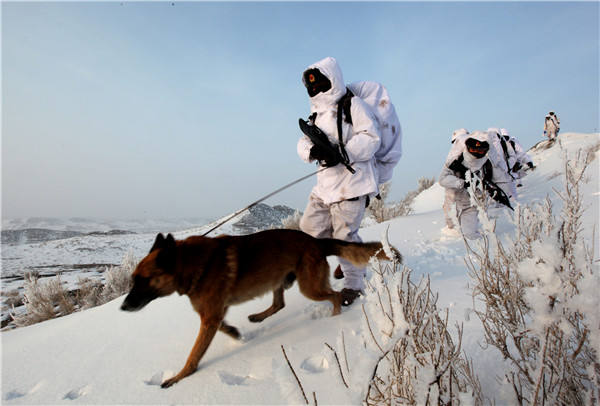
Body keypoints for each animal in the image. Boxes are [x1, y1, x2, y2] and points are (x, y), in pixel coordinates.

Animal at [119, 228, 400, 386]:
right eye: (133, 279)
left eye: (144, 280)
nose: (123, 306)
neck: (189, 264)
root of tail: (315, 241)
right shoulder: (212, 315)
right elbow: (224, 328)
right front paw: (235, 333)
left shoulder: (209, 317)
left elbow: (194, 354)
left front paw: (179, 377)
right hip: (279, 280)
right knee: (279, 303)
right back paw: (257, 317)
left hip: (309, 287)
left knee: (334, 296)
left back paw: (334, 317)